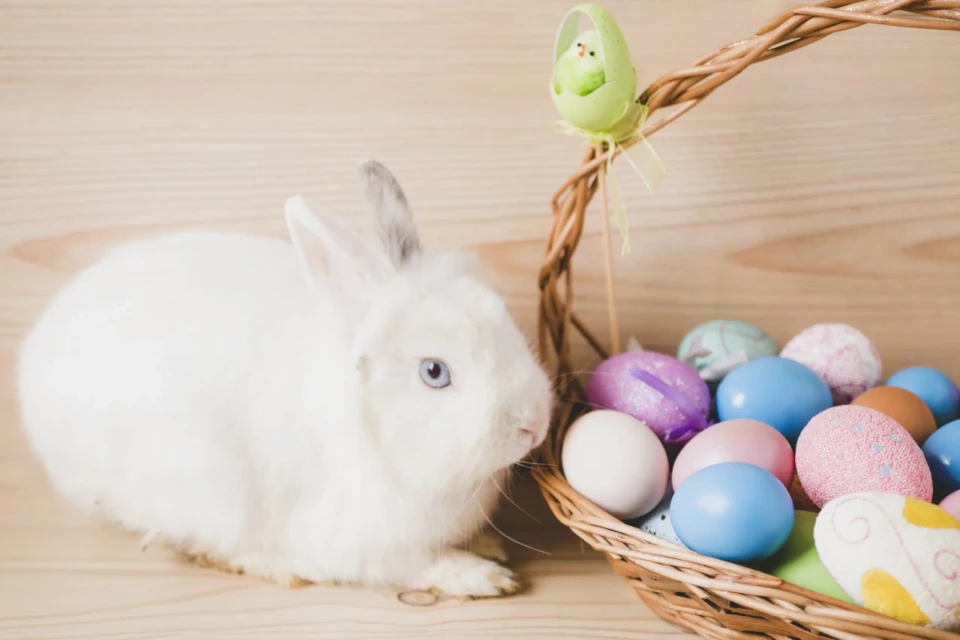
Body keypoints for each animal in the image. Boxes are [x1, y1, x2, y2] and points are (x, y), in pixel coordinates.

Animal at [16, 159, 554, 598]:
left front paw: (488, 544)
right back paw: (285, 568)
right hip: (202, 487)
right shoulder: (361, 540)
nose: (534, 424)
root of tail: (35, 360)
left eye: (501, 315)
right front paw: (483, 576)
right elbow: (410, 566)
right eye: (434, 372)